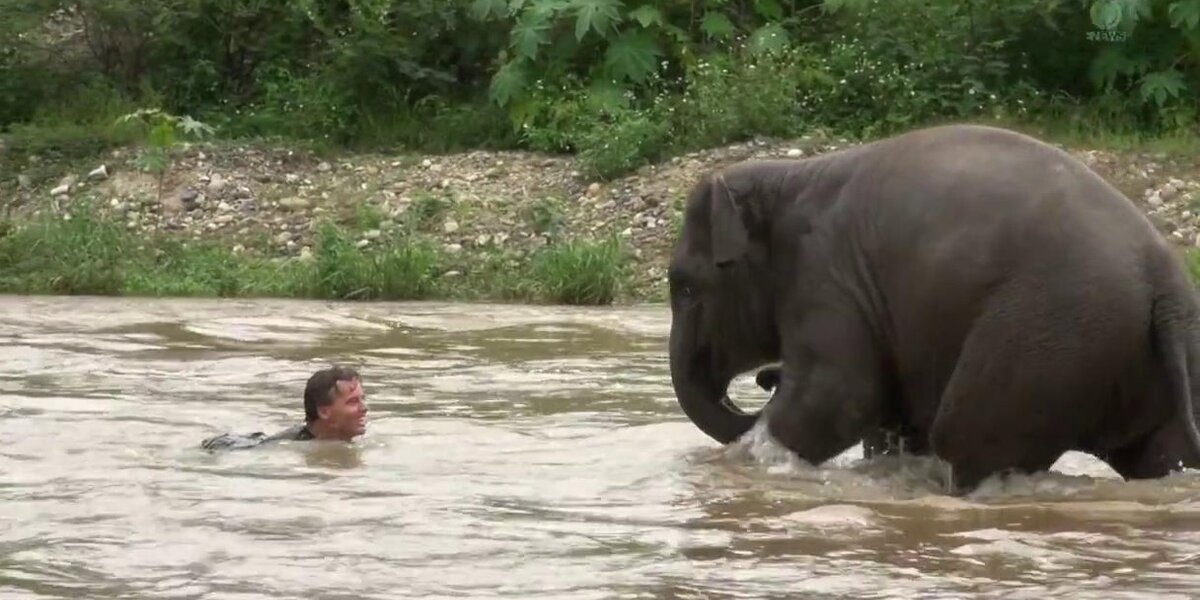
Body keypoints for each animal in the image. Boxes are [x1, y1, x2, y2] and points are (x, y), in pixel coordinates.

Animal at [667, 121, 1200, 492]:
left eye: (686, 288)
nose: (765, 379)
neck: (785, 175)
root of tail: (1164, 284)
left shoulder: (827, 277)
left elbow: (841, 395)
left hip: (1052, 339)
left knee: (965, 437)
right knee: (1160, 453)